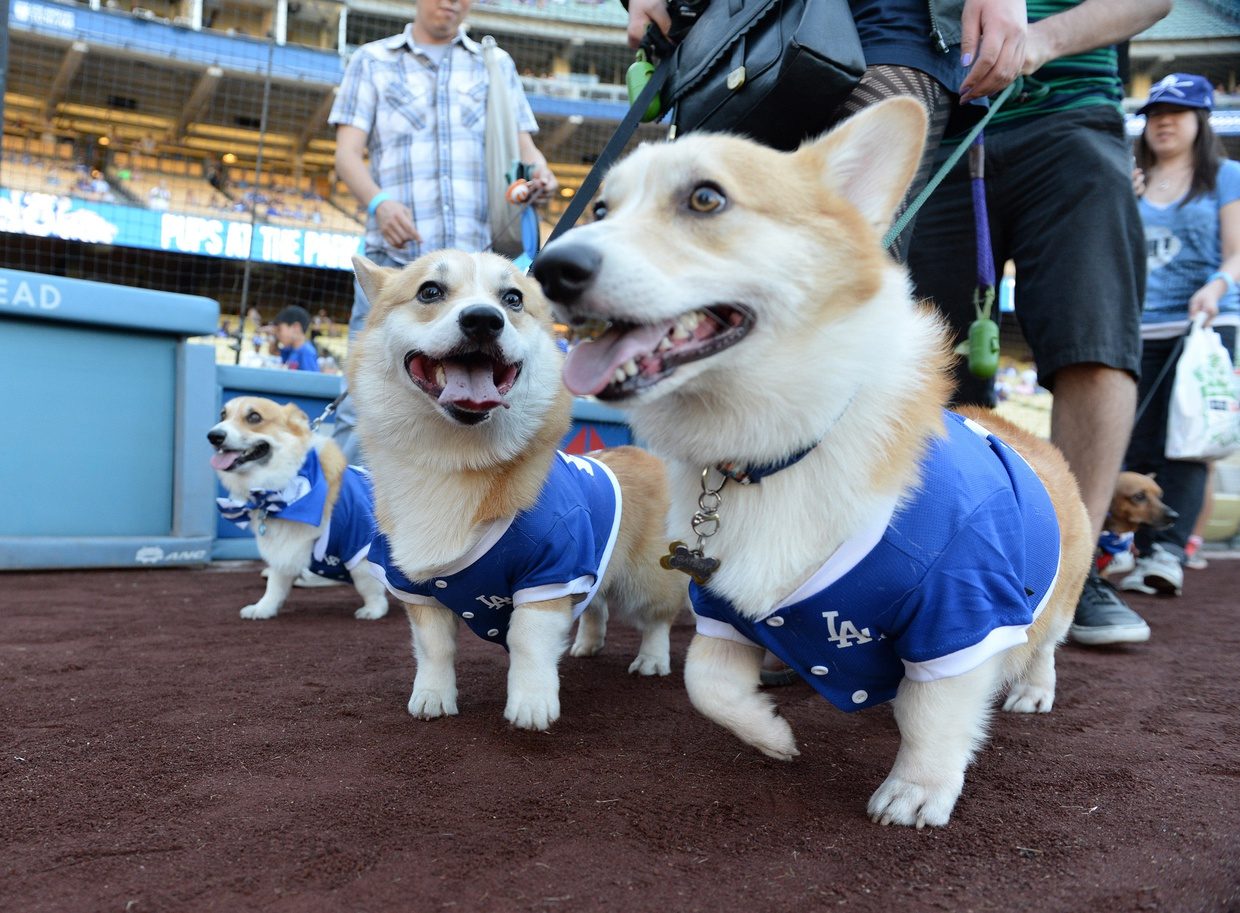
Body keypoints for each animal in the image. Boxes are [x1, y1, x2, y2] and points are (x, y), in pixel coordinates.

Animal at [209, 396, 386, 620]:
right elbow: (275, 586)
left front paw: (374, 610)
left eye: (254, 417)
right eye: (222, 415)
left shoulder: (359, 548)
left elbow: (369, 586)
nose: (213, 436)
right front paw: (262, 609)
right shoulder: (284, 548)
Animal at [344, 248, 684, 729]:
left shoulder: (550, 576)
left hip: (644, 576)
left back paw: (652, 660)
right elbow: (434, 648)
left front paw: (531, 705)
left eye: (513, 299)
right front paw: (431, 697)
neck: (453, 459)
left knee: (657, 618)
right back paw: (587, 644)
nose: (484, 320)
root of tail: (642, 453)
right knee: (596, 605)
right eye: (429, 291)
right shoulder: (416, 587)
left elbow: (527, 641)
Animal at [533, 99, 1096, 828]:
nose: (549, 268)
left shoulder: (961, 612)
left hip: (1055, 599)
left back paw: (1031, 691)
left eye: (706, 198)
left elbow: (937, 719)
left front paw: (916, 791)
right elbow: (706, 682)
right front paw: (772, 734)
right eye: (602, 207)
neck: (778, 453)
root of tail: (1027, 432)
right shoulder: (721, 605)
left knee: (1045, 647)